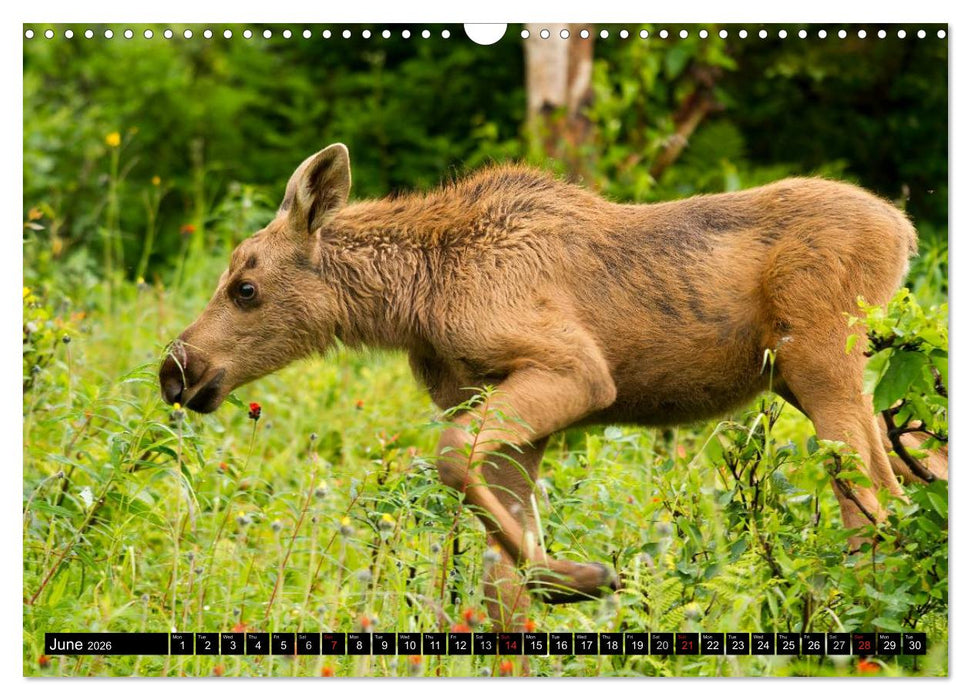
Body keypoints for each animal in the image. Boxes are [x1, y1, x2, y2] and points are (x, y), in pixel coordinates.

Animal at [159, 143, 947, 630]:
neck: (416, 299)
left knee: (876, 504)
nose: (177, 369)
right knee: (910, 479)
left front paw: (576, 576)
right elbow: (494, 576)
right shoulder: (510, 412)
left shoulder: (574, 369)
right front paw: (555, 585)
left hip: (821, 357)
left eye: (246, 288)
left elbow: (454, 463)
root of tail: (904, 229)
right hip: (818, 380)